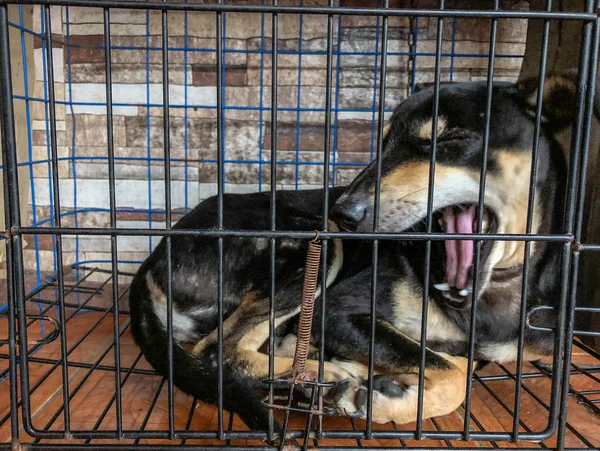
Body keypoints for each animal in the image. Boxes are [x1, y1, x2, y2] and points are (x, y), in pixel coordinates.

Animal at [127, 75, 592, 434]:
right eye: (382, 144)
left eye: (449, 139)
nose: (344, 211)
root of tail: (157, 252)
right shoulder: (336, 311)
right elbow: (452, 372)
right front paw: (381, 398)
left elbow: (455, 364)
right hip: (315, 244)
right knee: (218, 352)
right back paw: (325, 375)